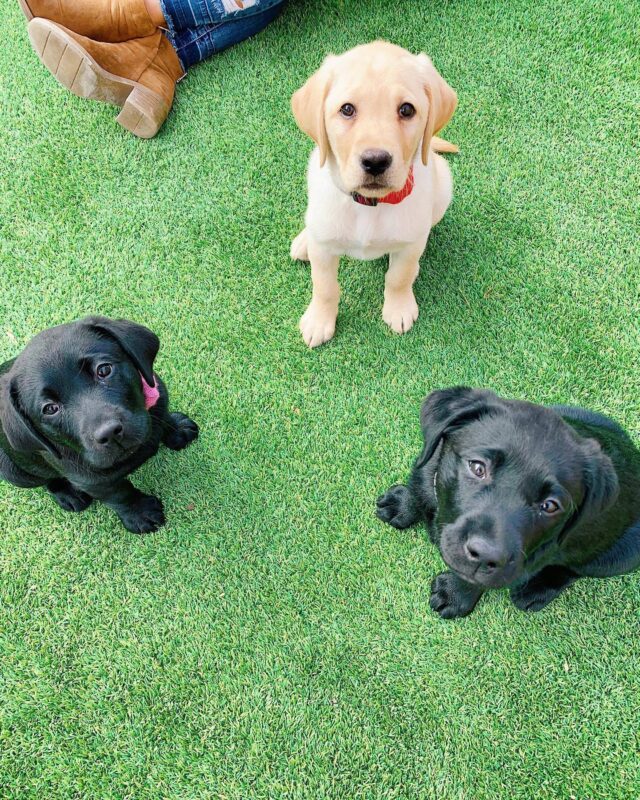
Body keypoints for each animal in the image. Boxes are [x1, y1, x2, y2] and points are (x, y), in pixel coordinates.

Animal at [0, 316, 199, 536]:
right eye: (50, 408)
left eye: (104, 370)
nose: (109, 433)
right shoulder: (92, 481)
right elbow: (119, 493)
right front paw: (140, 513)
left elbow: (164, 417)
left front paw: (177, 428)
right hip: (12, 471)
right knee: (46, 479)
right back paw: (68, 494)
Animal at [292, 40, 458, 346]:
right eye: (347, 109)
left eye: (407, 110)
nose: (376, 161)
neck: (369, 205)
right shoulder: (324, 251)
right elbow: (324, 286)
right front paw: (319, 320)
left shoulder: (409, 244)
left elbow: (399, 277)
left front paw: (399, 308)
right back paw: (303, 241)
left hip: (444, 185)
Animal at [376, 388, 640, 620]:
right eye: (477, 467)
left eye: (550, 505)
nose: (485, 556)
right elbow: (421, 489)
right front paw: (403, 503)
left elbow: (474, 577)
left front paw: (455, 595)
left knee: (572, 570)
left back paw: (536, 591)